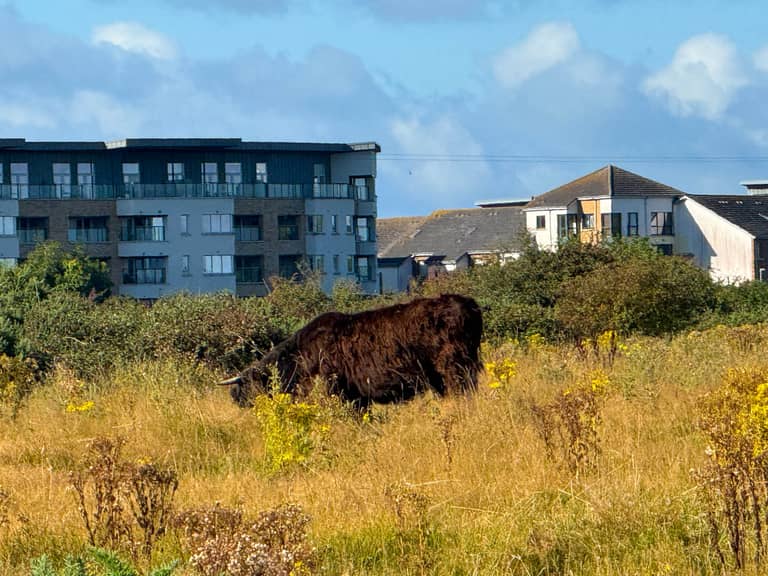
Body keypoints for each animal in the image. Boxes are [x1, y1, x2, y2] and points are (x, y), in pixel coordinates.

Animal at [220, 293, 483, 409]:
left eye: (247, 383)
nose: (236, 399)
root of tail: (467, 303)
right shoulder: (358, 396)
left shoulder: (340, 391)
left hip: (454, 368)